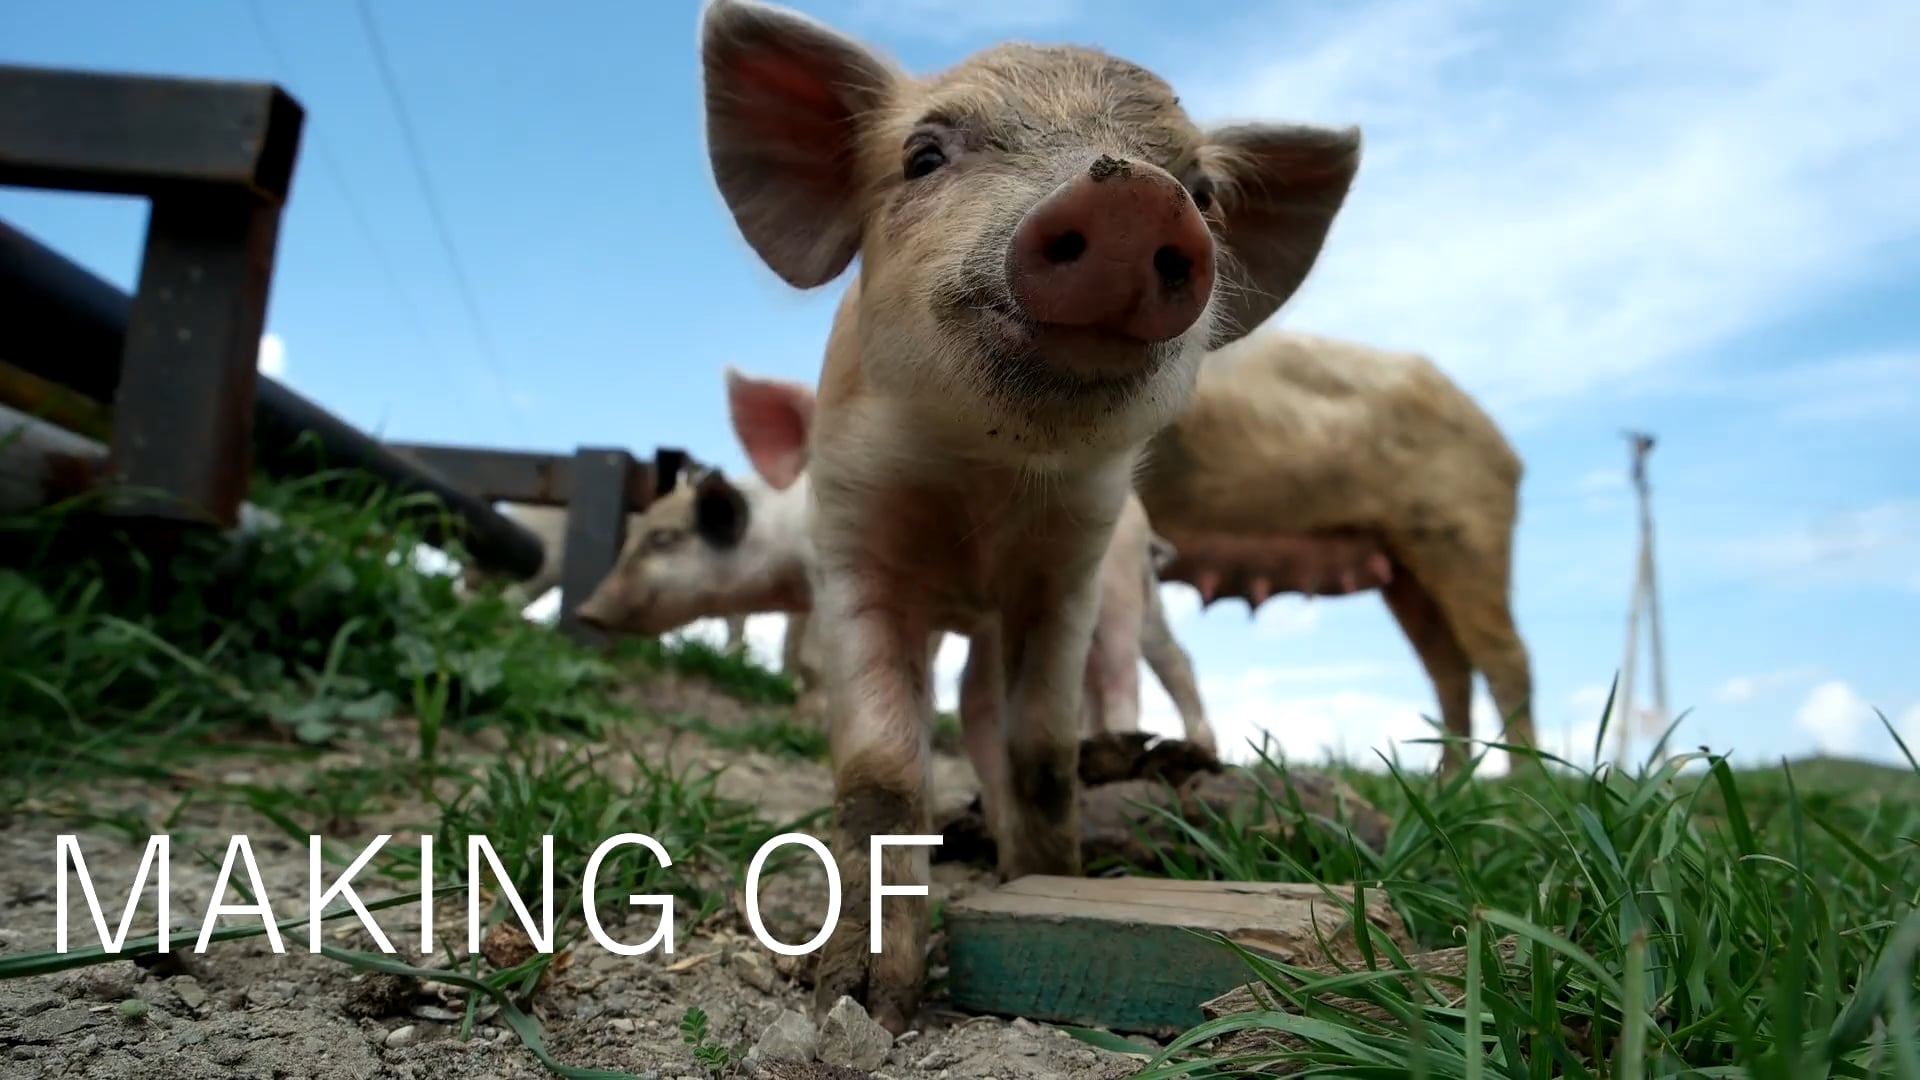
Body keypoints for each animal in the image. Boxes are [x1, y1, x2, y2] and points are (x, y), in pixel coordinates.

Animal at [690, 0, 1360, 1030]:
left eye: (1202, 191)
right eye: (925, 155)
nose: (1131, 195)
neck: (983, 478)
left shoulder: (1071, 567)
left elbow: (1043, 750)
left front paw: (1050, 884)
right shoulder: (851, 542)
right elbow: (880, 771)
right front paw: (862, 1004)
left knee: (995, 710)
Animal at [1132, 328, 1535, 774]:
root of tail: (1509, 452)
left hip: (1465, 529)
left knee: (1506, 658)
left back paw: (1520, 782)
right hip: (1405, 572)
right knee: (1449, 667)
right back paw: (1447, 781)